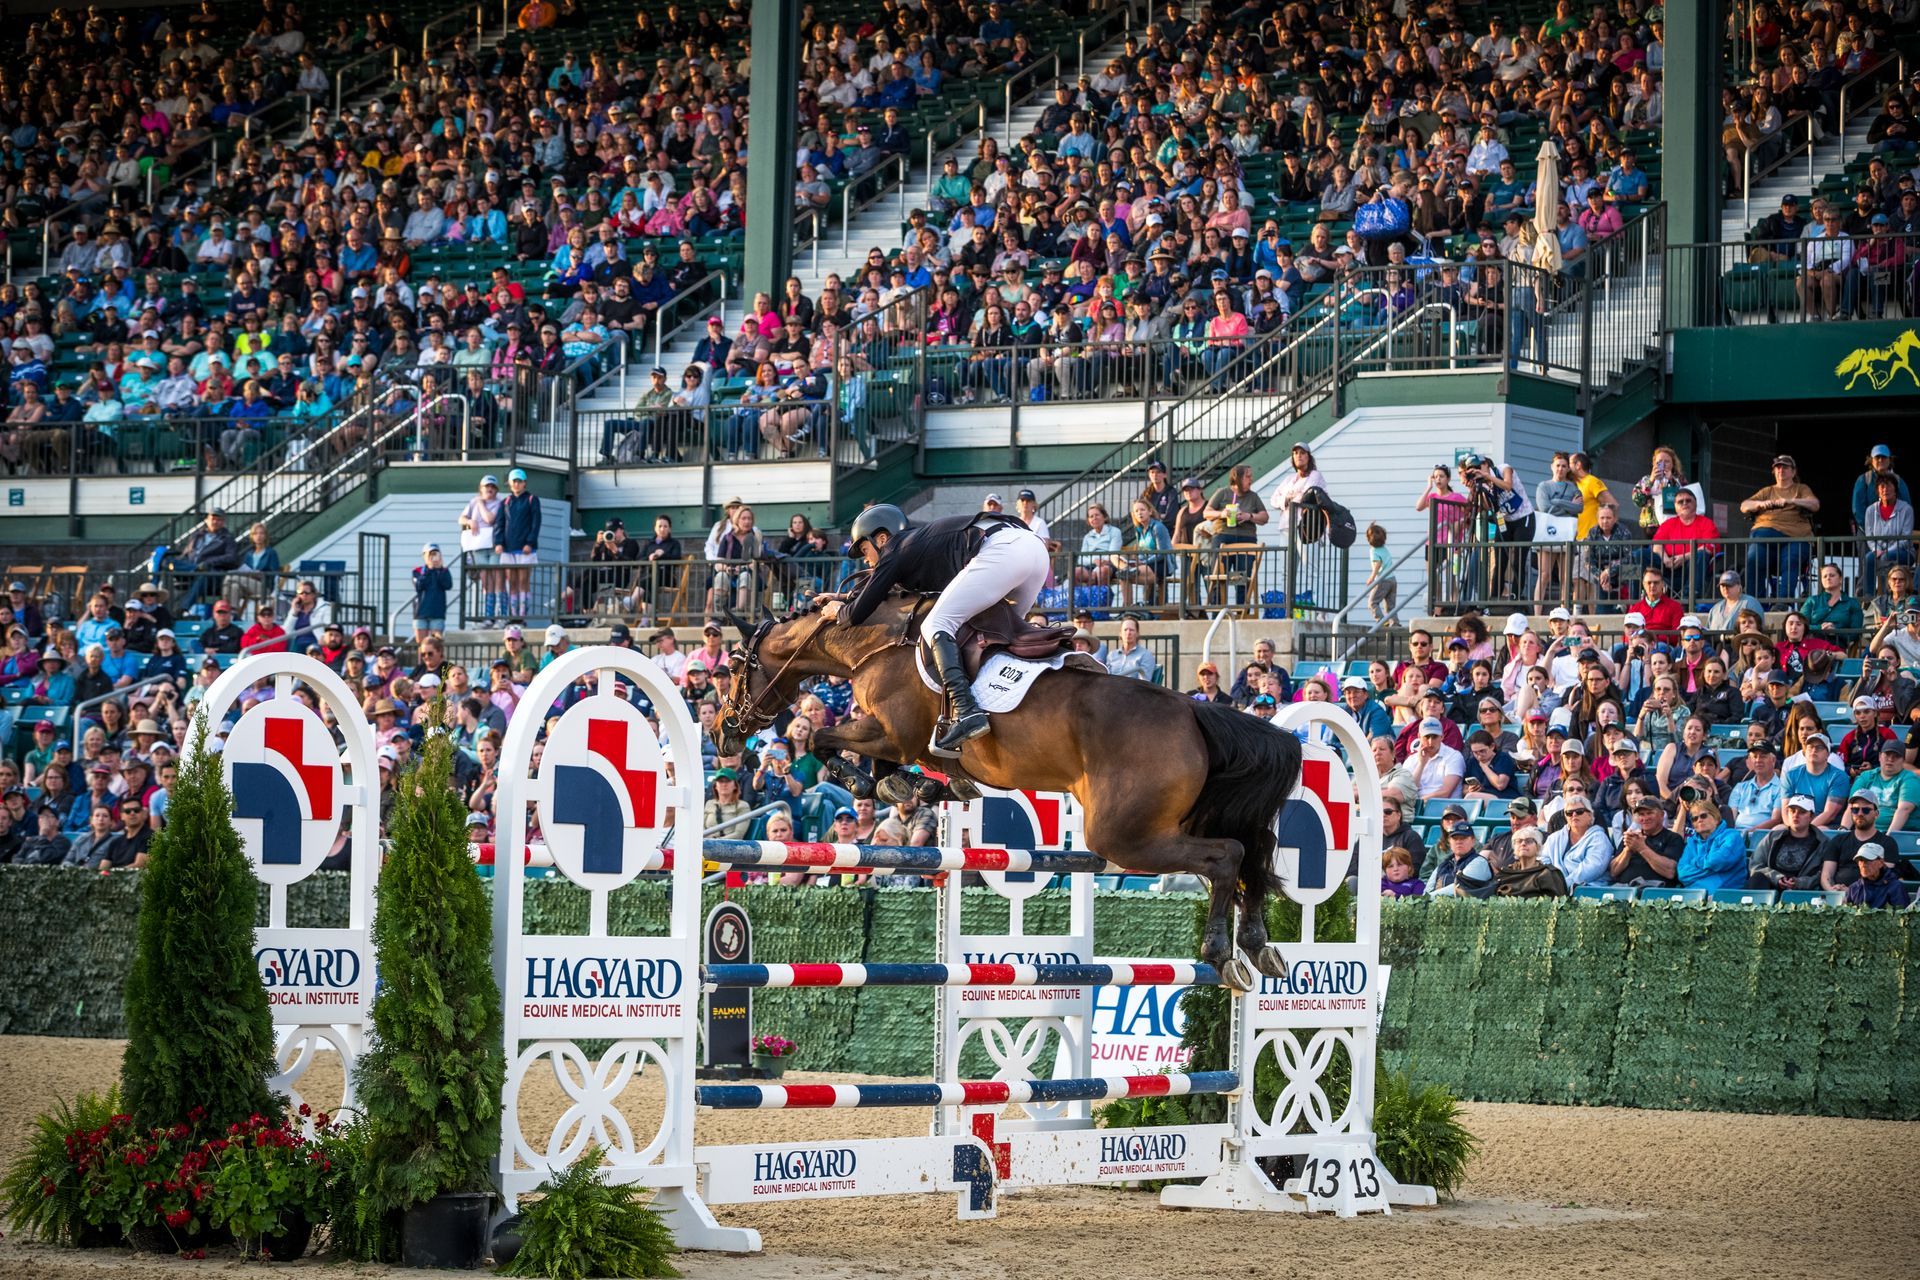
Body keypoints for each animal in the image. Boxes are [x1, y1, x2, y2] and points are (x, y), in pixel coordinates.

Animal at [721, 594, 1305, 990]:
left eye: (734, 665)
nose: (725, 733)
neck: (877, 644)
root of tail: (1192, 710)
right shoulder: (896, 738)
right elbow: (896, 763)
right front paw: (916, 784)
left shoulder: (887, 730)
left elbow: (825, 738)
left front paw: (868, 781)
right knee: (1252, 854)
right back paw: (1259, 945)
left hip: (1126, 837)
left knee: (1227, 855)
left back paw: (1223, 953)